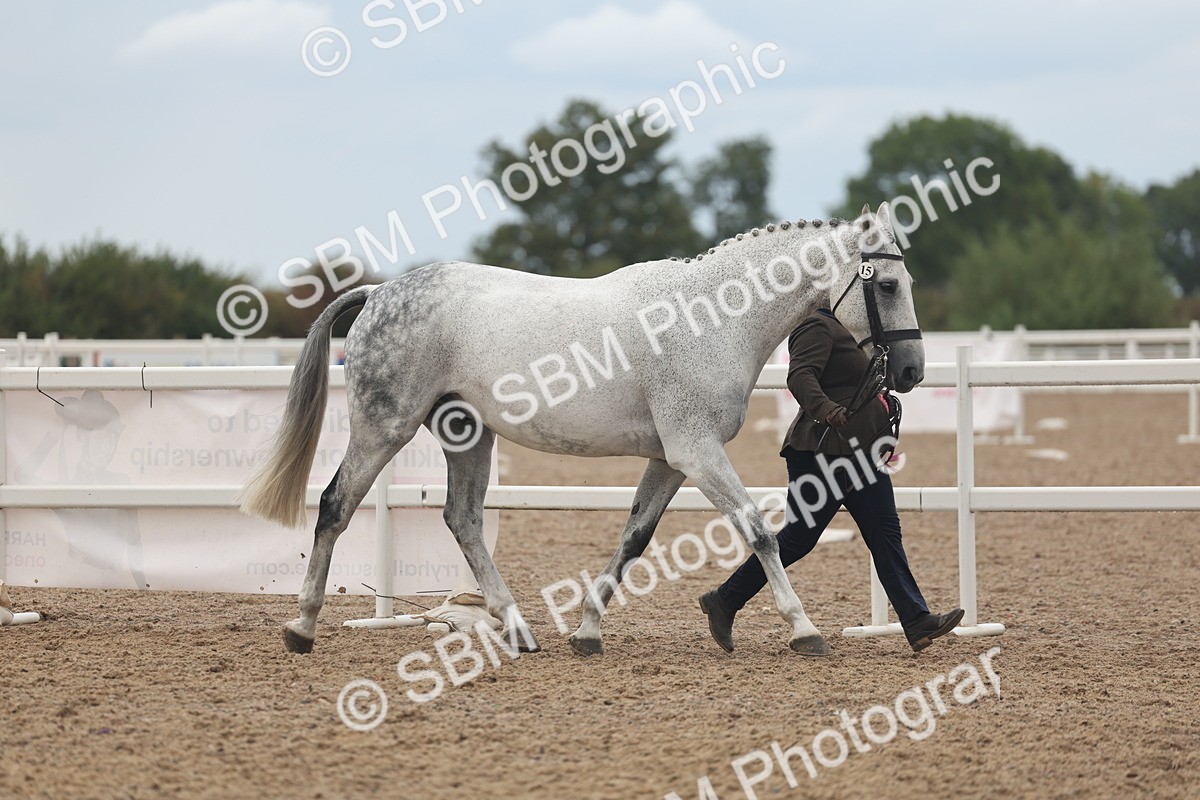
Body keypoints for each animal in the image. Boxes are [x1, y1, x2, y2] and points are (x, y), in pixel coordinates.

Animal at [238, 202, 924, 657]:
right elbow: (758, 531)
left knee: (462, 520)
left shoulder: (671, 459)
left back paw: (518, 631)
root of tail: (380, 293)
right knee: (335, 505)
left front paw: (588, 632)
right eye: (889, 284)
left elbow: (634, 539)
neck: (712, 317)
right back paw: (301, 628)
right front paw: (804, 629)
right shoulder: (697, 452)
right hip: (384, 427)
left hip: (467, 433)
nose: (912, 371)